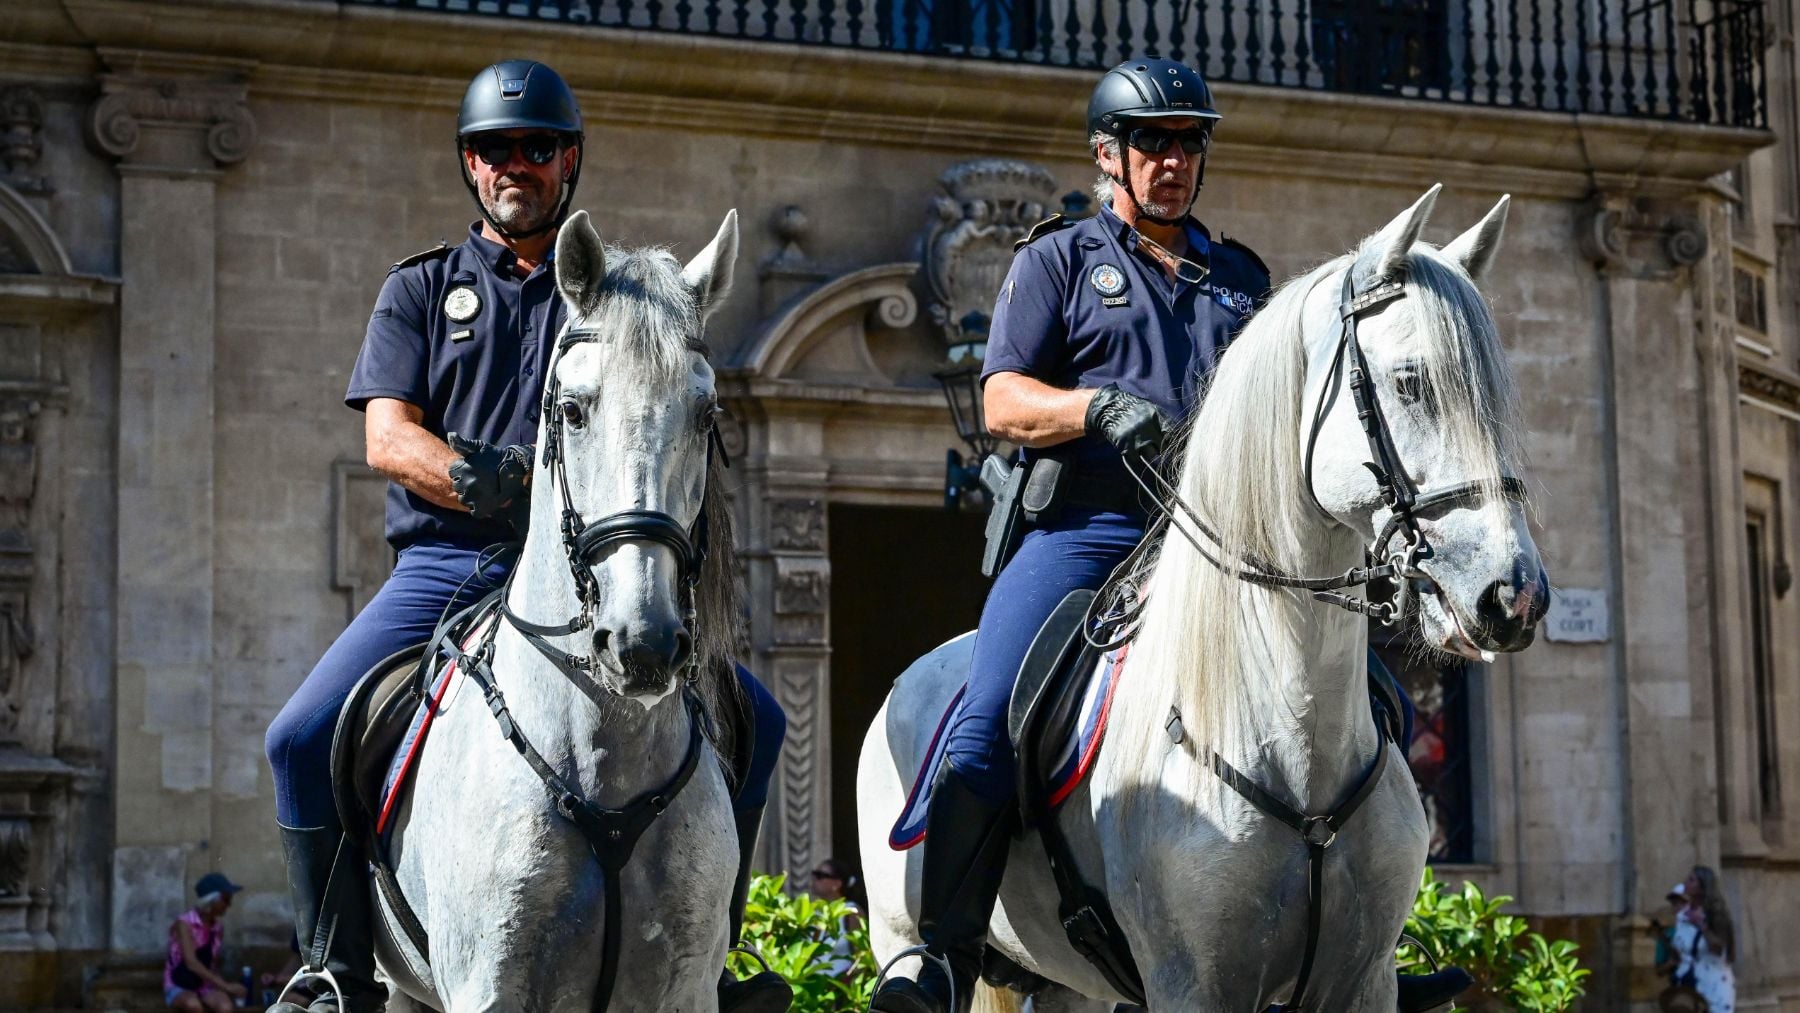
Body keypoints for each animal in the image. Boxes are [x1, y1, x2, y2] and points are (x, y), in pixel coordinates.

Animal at [858, 186, 1546, 1011]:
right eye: (1412, 381)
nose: (1514, 595)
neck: (1293, 734)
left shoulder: (1362, 980)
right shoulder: (1192, 982)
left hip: (1067, 983)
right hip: (899, 928)